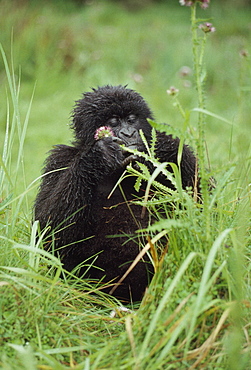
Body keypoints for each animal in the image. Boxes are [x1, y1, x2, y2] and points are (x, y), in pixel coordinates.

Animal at [34, 85, 197, 302]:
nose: (128, 133)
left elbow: (203, 201)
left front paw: (158, 144)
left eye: (131, 119)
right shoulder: (59, 159)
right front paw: (99, 155)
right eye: (113, 122)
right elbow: (48, 231)